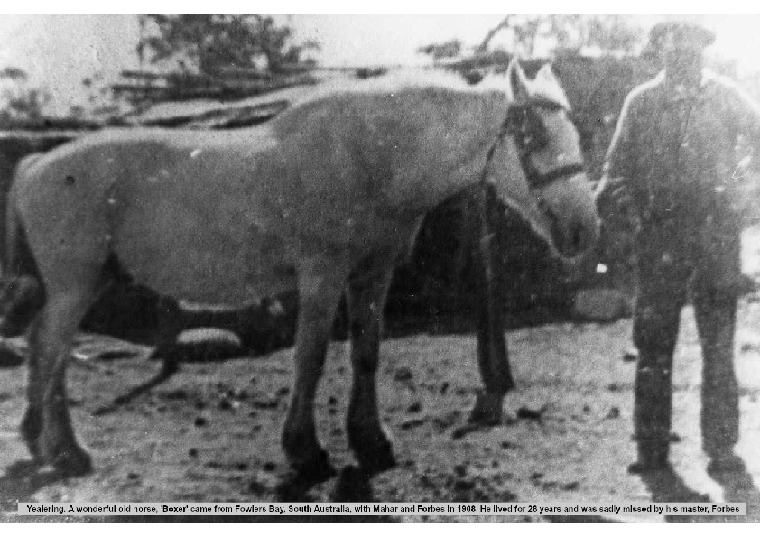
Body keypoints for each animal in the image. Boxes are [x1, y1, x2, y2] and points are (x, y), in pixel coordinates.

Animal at [0, 58, 600, 478]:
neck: (371, 156)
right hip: (75, 285)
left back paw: (54, 447)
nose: (583, 230)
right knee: (49, 348)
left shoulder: (371, 276)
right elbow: (309, 358)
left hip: (88, 284)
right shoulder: (321, 277)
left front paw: (372, 443)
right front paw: (306, 452)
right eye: (533, 135)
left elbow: (366, 354)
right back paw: (61, 450)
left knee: (49, 351)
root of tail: (37, 162)